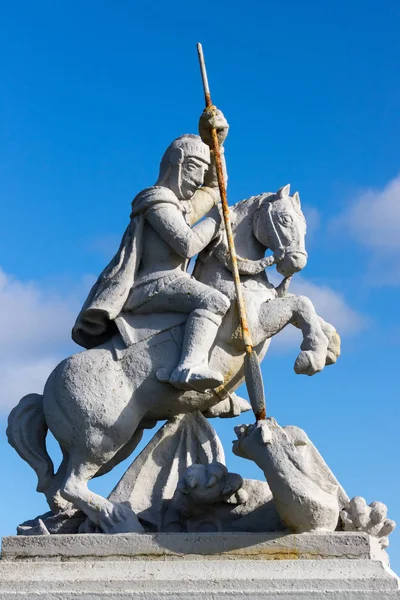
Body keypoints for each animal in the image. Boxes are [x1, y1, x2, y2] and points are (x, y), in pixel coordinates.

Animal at [7, 185, 340, 532]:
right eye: (285, 219)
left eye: (305, 224)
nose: (296, 262)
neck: (234, 276)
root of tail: (45, 391)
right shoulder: (251, 327)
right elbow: (300, 304)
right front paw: (311, 356)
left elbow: (310, 310)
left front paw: (327, 347)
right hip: (102, 437)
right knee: (70, 485)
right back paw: (119, 518)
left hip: (114, 440)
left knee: (56, 487)